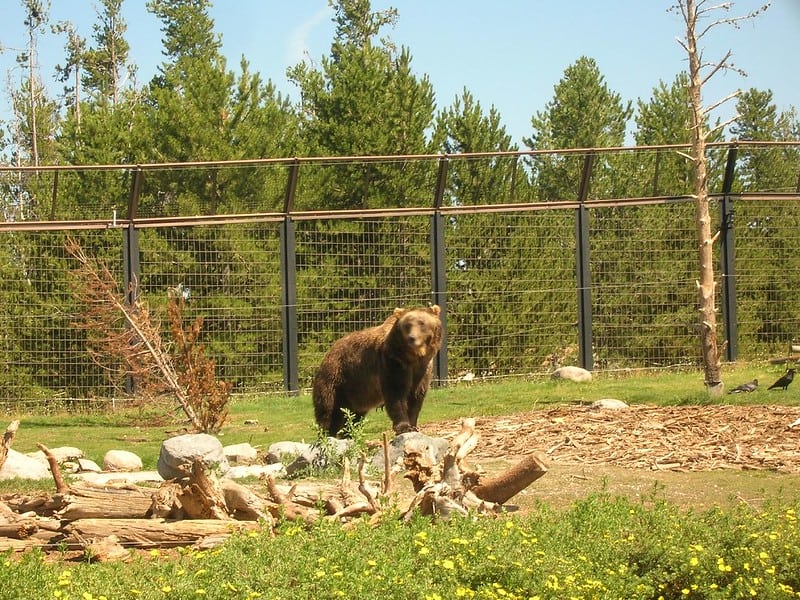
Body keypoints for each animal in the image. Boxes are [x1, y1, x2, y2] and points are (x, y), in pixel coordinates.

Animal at [310, 304, 444, 436]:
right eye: (407, 325)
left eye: (422, 323)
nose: (412, 338)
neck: (413, 357)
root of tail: (329, 351)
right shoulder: (393, 361)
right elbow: (396, 392)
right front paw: (404, 427)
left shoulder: (423, 368)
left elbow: (416, 396)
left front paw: (413, 425)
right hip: (337, 378)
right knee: (329, 410)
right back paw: (327, 434)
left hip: (356, 392)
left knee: (354, 415)